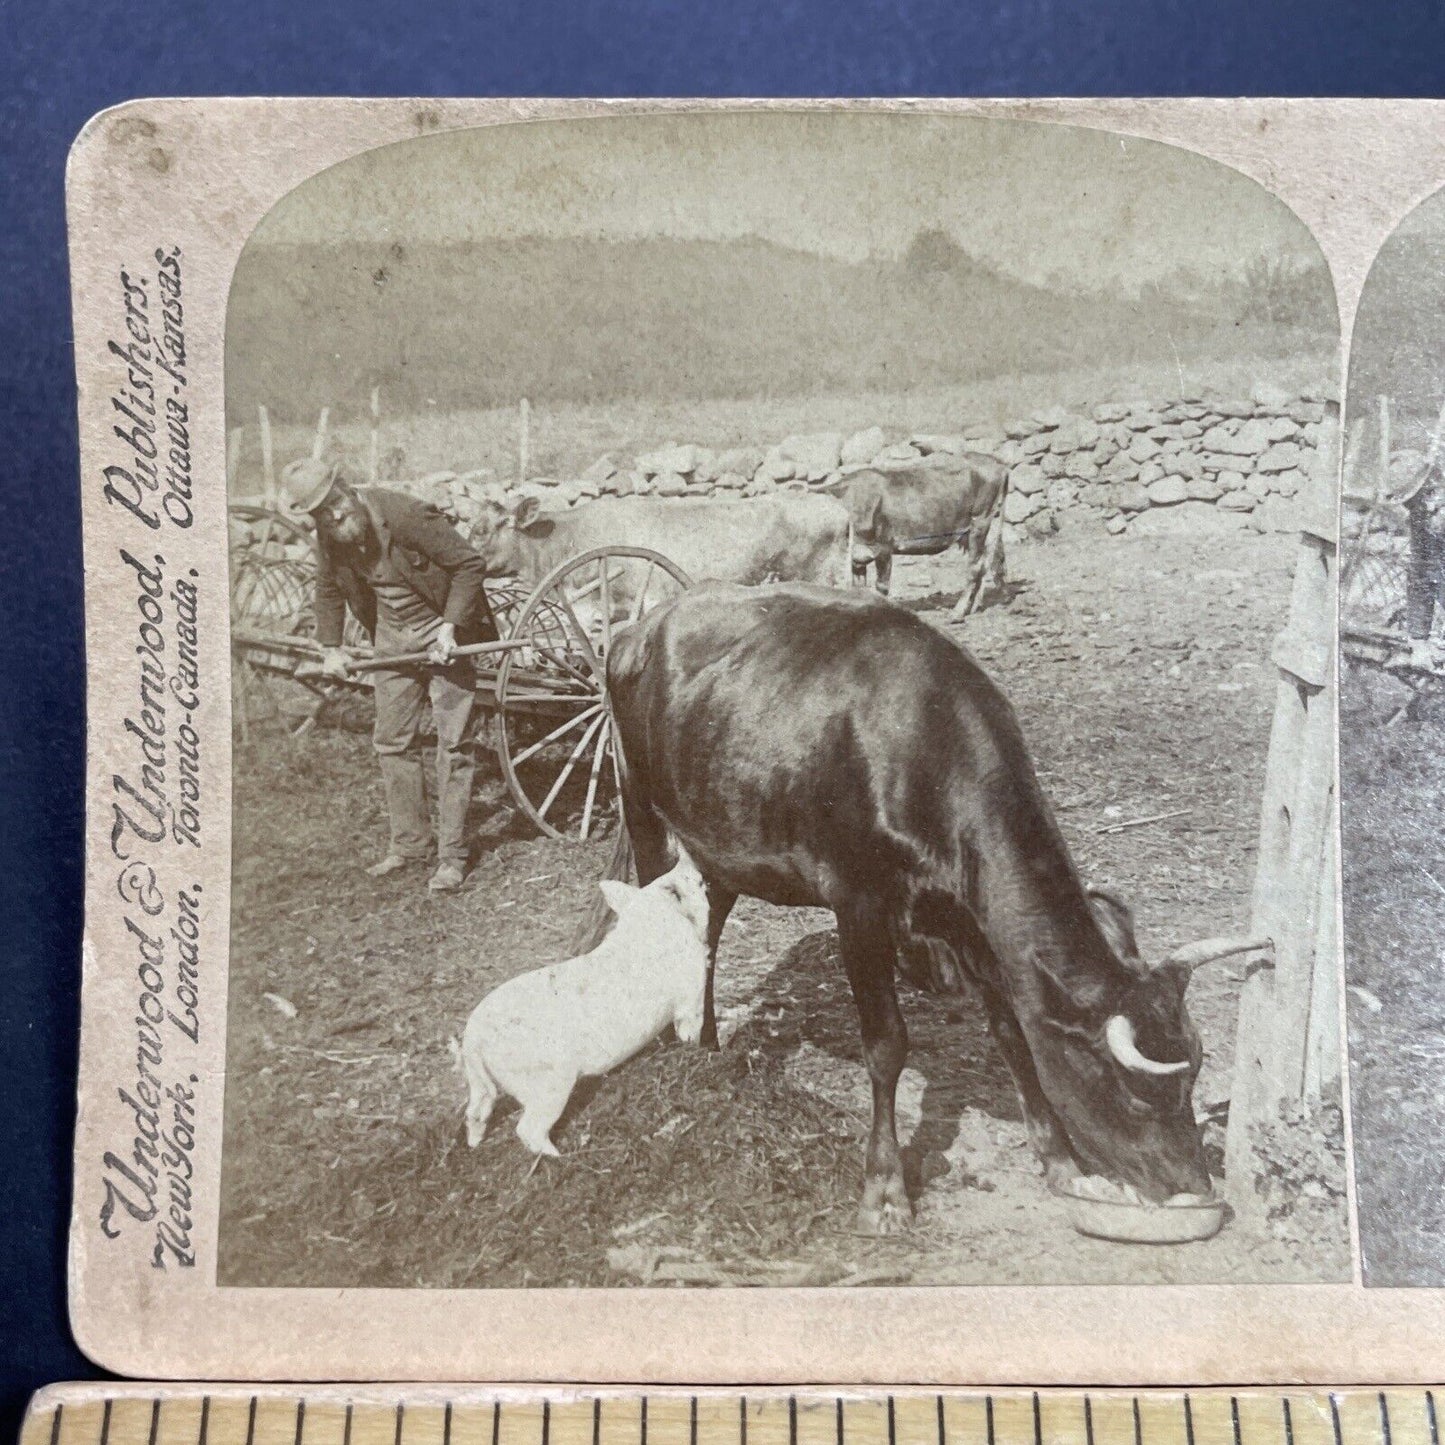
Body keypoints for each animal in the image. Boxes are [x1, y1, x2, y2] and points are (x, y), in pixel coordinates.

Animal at [456, 849, 710, 1156]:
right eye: (686, 881)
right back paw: (561, 1156)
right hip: (549, 1079)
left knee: (476, 1111)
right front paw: (700, 1050)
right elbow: (690, 1026)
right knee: (527, 1128)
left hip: (482, 1083)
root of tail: (473, 1041)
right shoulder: (691, 991)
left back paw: (474, 1145)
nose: (689, 857)